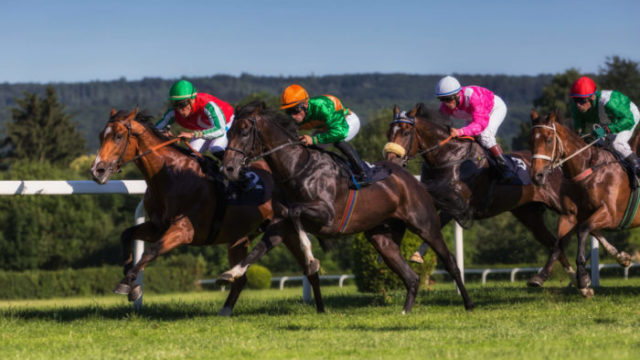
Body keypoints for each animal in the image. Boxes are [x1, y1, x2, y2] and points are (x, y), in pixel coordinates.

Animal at [90, 107, 324, 316]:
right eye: (101, 136)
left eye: (119, 136)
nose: (97, 171)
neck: (169, 175)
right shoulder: (157, 226)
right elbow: (126, 235)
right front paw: (131, 283)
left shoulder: (183, 230)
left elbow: (150, 251)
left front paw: (126, 284)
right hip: (239, 238)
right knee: (241, 278)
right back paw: (225, 310)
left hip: (287, 230)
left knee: (310, 271)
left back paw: (320, 308)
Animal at [220, 100, 476, 312]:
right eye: (229, 132)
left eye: (244, 131)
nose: (228, 168)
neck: (297, 168)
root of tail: (415, 181)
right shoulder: (280, 224)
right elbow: (260, 247)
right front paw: (232, 272)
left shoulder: (326, 215)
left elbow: (297, 213)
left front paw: (312, 260)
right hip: (381, 237)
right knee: (411, 277)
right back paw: (405, 311)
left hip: (425, 225)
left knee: (450, 262)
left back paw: (469, 304)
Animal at [382, 104, 628, 286]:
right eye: (389, 132)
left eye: (406, 132)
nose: (391, 160)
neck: (449, 158)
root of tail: (558, 163)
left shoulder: (460, 205)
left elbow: (438, 221)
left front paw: (416, 255)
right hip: (529, 214)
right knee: (556, 240)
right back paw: (580, 274)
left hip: (561, 204)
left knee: (582, 226)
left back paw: (613, 259)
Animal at [528, 111, 636, 296]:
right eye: (531, 140)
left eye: (548, 139)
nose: (537, 176)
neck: (587, 169)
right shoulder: (570, 216)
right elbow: (558, 243)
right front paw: (540, 276)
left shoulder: (611, 214)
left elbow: (583, 230)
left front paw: (584, 279)